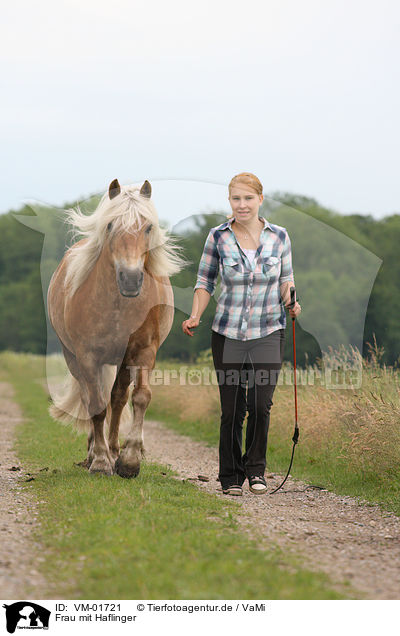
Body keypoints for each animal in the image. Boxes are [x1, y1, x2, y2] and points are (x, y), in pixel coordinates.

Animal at [47, 179, 185, 476]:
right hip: (74, 358)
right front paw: (100, 462)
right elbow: (97, 406)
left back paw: (113, 450)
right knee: (90, 398)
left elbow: (140, 397)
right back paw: (95, 453)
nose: (131, 278)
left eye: (148, 227)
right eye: (110, 225)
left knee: (119, 398)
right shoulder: (88, 356)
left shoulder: (143, 352)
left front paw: (129, 460)